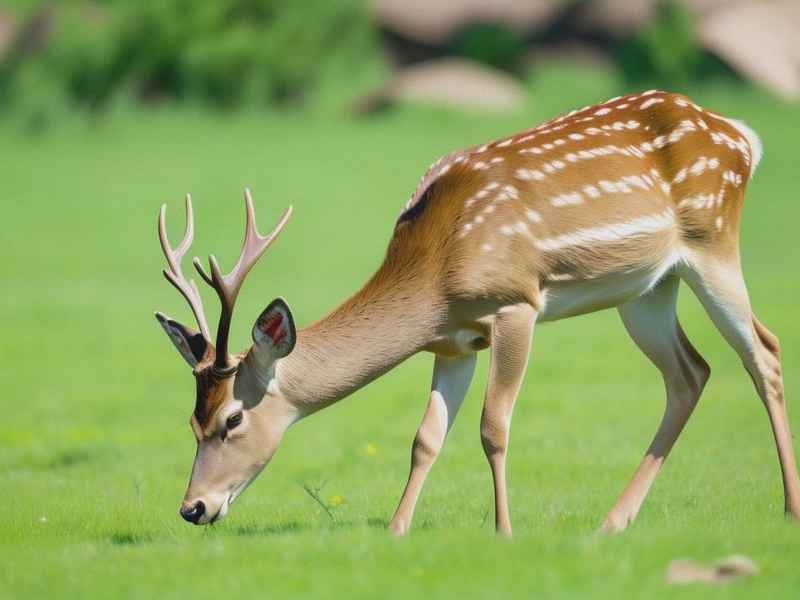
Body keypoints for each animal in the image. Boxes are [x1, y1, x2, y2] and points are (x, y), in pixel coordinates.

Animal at [155, 90, 800, 535]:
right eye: (190, 420)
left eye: (232, 419)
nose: (192, 507)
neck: (437, 275)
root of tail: (742, 136)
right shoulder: (453, 340)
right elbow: (425, 438)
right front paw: (397, 529)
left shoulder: (516, 301)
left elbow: (494, 426)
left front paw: (504, 529)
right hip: (646, 289)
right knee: (690, 372)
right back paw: (614, 520)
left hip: (712, 241)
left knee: (763, 351)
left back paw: (790, 506)